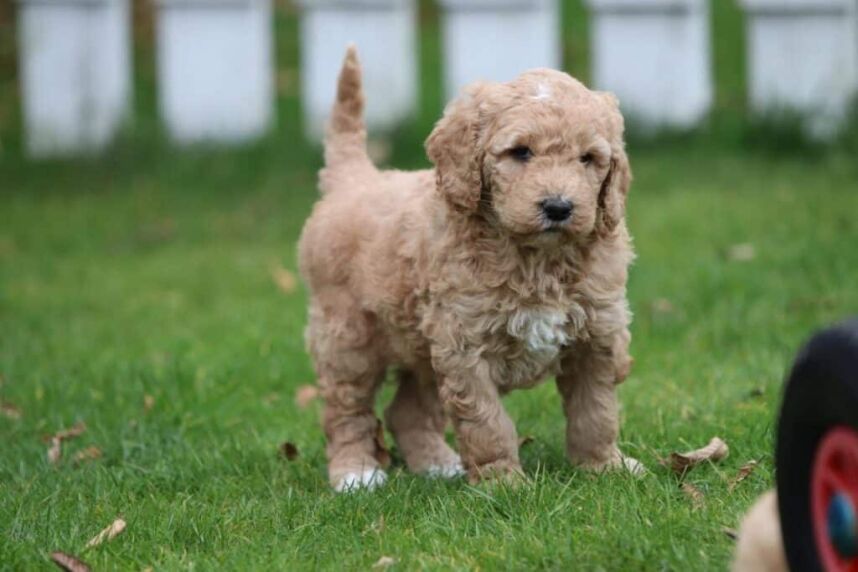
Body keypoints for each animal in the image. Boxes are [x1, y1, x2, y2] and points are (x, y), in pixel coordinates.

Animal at [298, 47, 640, 492]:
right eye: (521, 152)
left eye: (588, 159)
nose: (559, 207)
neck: (537, 260)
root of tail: (356, 179)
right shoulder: (465, 343)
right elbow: (486, 421)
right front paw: (503, 484)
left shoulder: (597, 337)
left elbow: (596, 411)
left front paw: (603, 467)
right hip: (347, 335)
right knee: (345, 409)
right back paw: (356, 473)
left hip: (419, 343)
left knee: (406, 409)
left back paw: (437, 465)